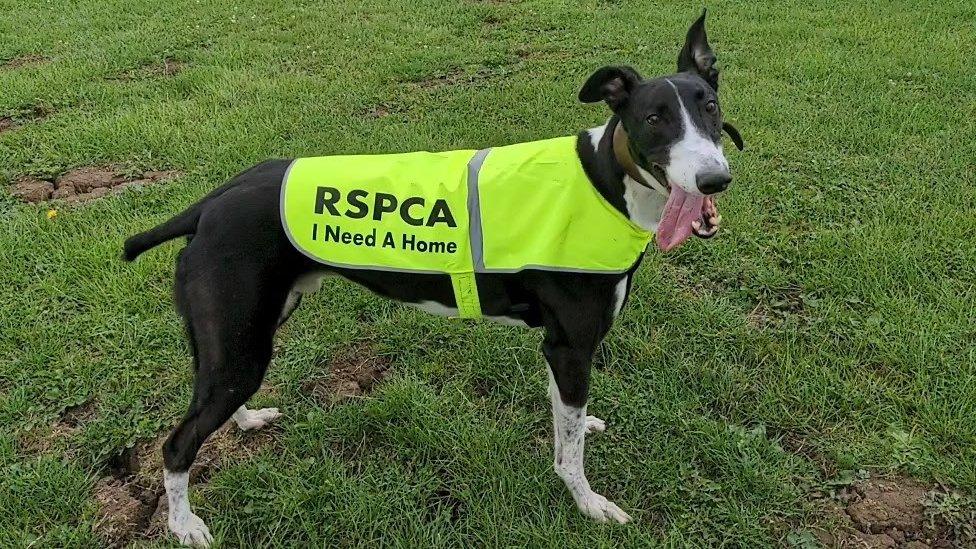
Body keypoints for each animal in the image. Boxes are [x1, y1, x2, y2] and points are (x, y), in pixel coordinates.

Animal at [126, 12, 744, 544]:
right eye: (654, 118)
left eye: (711, 106)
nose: (715, 180)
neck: (607, 179)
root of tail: (209, 205)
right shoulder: (571, 347)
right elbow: (568, 456)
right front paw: (588, 503)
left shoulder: (558, 351)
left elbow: (565, 419)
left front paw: (579, 429)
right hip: (240, 345)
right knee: (177, 445)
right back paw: (183, 525)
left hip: (243, 339)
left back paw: (247, 420)